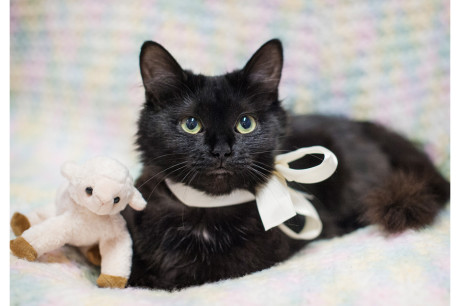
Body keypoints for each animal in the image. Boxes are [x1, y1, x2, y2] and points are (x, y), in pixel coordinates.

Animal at [122, 39, 450, 290]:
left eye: (245, 124)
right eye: (191, 124)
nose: (222, 152)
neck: (206, 209)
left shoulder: (264, 251)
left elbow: (199, 272)